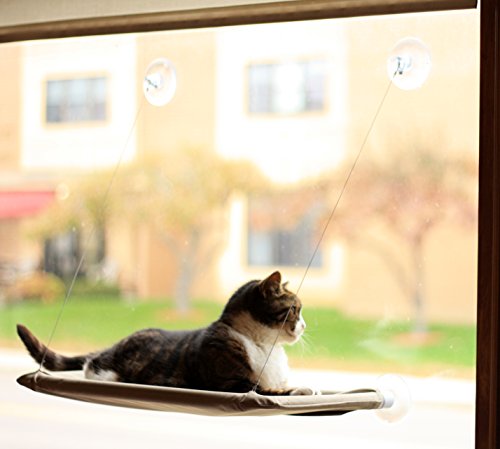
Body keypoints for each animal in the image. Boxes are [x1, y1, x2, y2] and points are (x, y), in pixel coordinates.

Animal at [17, 271, 318, 396]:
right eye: (295, 309)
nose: (304, 326)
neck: (265, 347)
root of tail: (112, 345)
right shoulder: (233, 383)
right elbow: (273, 390)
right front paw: (304, 388)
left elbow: (279, 384)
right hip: (107, 368)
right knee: (92, 366)